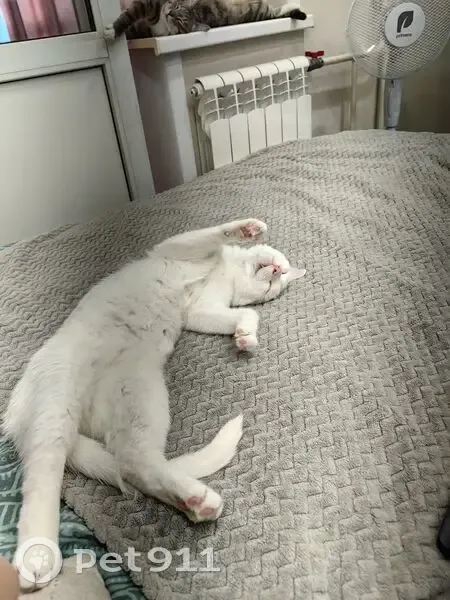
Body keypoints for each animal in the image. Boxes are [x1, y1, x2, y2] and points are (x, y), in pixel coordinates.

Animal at [4, 218, 306, 591]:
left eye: (278, 281)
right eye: (279, 270)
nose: (277, 270)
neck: (226, 273)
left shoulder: (201, 312)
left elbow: (246, 314)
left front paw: (246, 338)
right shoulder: (176, 249)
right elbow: (212, 235)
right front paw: (248, 229)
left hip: (139, 399)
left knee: (132, 464)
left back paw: (197, 501)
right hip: (59, 408)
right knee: (44, 482)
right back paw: (37, 559)